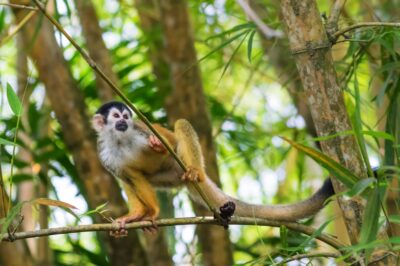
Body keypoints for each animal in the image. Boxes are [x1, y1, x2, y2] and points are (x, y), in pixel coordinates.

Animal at [91, 101, 334, 236]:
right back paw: (139, 213)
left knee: (180, 125)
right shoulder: (104, 155)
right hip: (167, 178)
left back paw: (195, 171)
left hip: (178, 165)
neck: (121, 139)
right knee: (128, 176)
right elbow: (129, 175)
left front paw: (158, 144)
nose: (123, 122)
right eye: (116, 116)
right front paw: (146, 213)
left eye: (125, 116)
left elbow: (170, 140)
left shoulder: (140, 128)